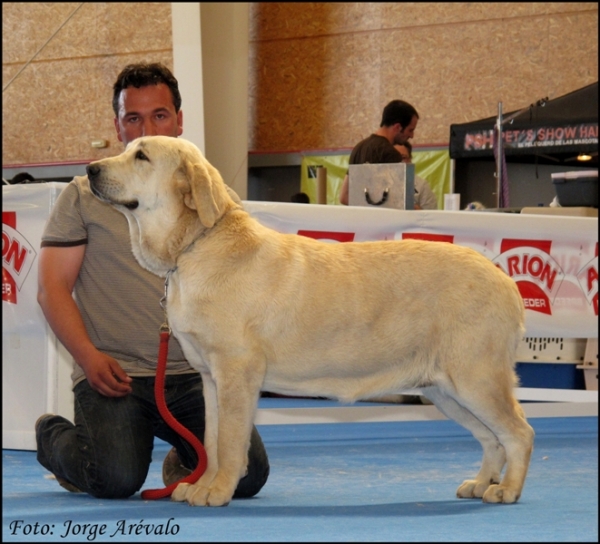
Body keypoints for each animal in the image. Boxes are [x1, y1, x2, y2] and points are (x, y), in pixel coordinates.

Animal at [88, 135, 536, 506]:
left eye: (141, 156)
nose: (90, 169)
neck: (196, 244)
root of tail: (504, 279)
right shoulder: (211, 379)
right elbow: (212, 442)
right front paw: (201, 485)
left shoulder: (236, 372)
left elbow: (230, 443)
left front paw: (217, 491)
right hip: (446, 389)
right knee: (492, 439)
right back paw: (481, 483)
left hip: (476, 378)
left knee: (519, 433)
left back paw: (508, 490)